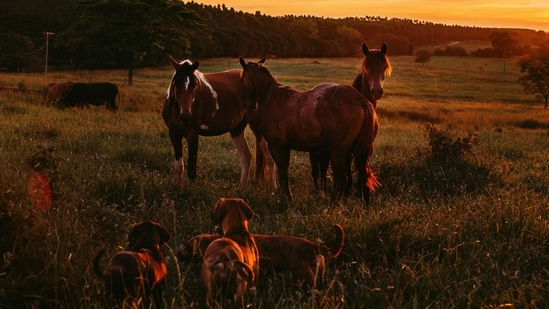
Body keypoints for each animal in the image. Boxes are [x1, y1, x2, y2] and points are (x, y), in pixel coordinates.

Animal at [162, 55, 274, 188]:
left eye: (195, 84)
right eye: (176, 83)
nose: (186, 117)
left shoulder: (192, 134)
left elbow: (192, 169)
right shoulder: (174, 133)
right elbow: (179, 166)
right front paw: (179, 188)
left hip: (259, 131)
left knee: (269, 159)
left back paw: (273, 189)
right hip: (236, 129)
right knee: (246, 156)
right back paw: (241, 187)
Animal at [240, 56, 382, 205]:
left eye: (242, 80)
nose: (249, 105)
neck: (272, 98)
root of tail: (361, 100)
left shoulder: (277, 147)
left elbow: (283, 174)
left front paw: (287, 199)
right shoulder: (285, 148)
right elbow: (284, 173)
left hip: (338, 151)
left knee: (342, 179)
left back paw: (332, 205)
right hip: (357, 152)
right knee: (362, 177)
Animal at [308, 41, 390, 195]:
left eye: (385, 67)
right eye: (366, 67)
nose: (377, 91)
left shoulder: (366, 149)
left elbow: (360, 179)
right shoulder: (347, 152)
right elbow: (348, 180)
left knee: (323, 167)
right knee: (317, 170)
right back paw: (320, 191)